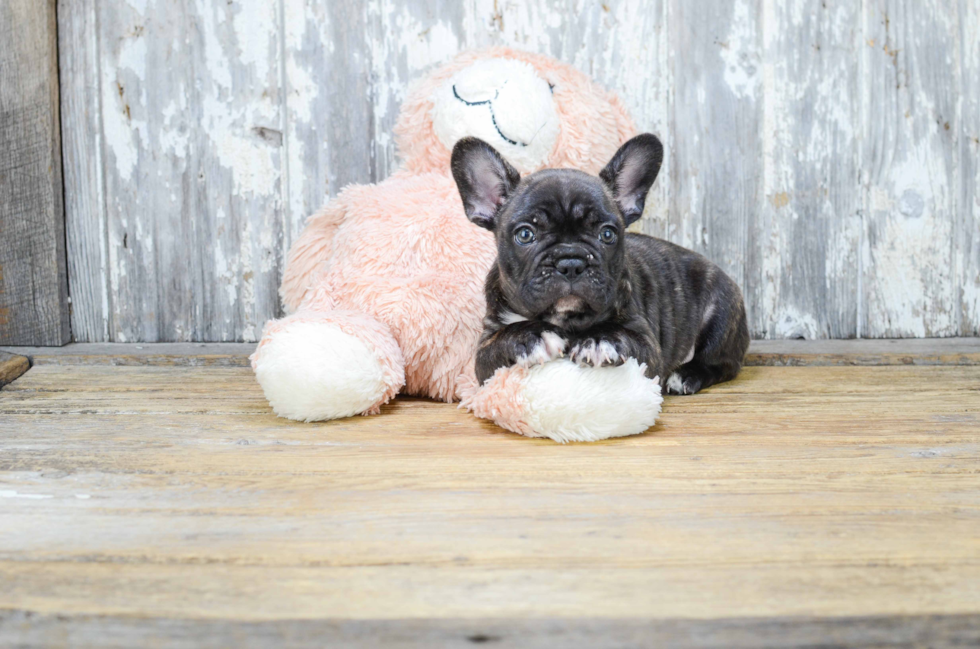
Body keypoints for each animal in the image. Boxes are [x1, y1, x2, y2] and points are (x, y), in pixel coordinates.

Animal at [452, 134, 752, 392]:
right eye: (525, 234)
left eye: (607, 234)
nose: (570, 262)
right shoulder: (486, 350)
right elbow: (502, 340)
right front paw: (530, 336)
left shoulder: (646, 344)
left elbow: (622, 335)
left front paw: (599, 340)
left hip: (721, 311)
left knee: (722, 363)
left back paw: (686, 375)